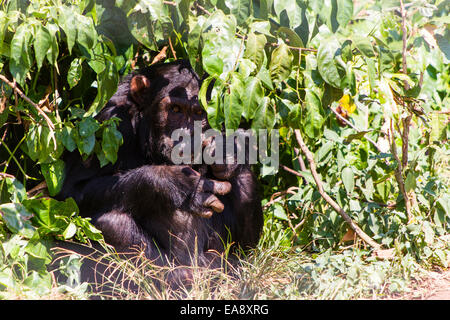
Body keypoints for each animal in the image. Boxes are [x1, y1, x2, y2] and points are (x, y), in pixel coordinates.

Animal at [58, 58, 266, 282]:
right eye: (175, 109)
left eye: (199, 113)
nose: (186, 135)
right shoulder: (109, 122)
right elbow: (73, 193)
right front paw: (175, 184)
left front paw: (227, 152)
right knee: (112, 224)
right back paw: (173, 277)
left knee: (245, 182)